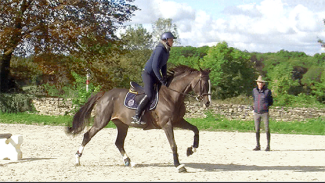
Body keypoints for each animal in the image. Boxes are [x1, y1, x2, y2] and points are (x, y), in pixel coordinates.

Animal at [65, 64, 211, 173]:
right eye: (204, 83)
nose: (208, 103)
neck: (172, 95)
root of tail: (105, 94)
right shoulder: (167, 124)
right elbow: (173, 144)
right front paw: (178, 165)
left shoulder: (178, 121)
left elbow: (195, 129)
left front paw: (191, 149)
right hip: (101, 121)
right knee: (87, 136)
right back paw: (77, 159)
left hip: (122, 125)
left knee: (119, 142)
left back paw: (129, 162)